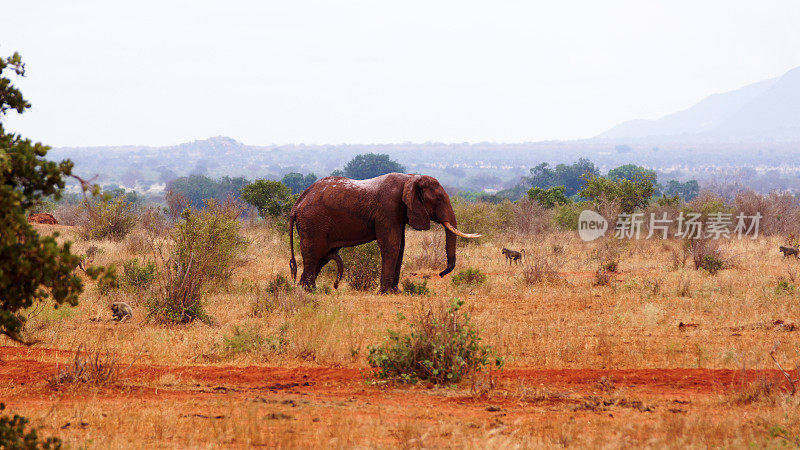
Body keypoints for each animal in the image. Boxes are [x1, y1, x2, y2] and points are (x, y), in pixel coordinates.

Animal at [290, 171, 482, 292]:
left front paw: (396, 291)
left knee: (321, 256)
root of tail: (296, 205)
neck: (410, 178)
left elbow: (401, 246)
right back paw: (311, 291)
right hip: (312, 223)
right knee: (313, 253)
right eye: (439, 199)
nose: (441, 274)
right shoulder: (388, 208)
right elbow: (392, 244)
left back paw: (303, 289)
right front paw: (385, 292)